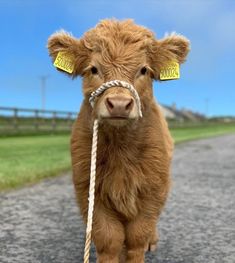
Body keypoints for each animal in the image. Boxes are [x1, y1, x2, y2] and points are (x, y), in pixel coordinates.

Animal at [47, 19, 189, 262]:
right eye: (93, 69)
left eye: (143, 70)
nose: (120, 104)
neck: (120, 147)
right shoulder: (88, 188)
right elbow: (109, 238)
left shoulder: (153, 189)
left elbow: (137, 236)